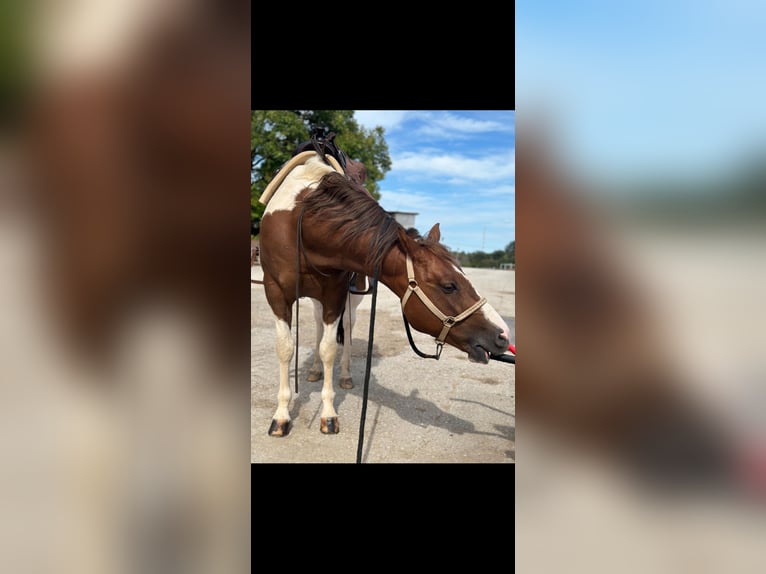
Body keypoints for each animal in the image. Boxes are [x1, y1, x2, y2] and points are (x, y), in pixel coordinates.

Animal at [258, 136, 511, 436]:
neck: (303, 222)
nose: (503, 334)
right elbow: (286, 348)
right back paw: (314, 371)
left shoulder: (334, 294)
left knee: (346, 331)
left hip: (347, 301)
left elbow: (329, 348)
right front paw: (281, 416)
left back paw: (344, 375)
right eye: (449, 286)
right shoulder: (276, 292)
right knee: (318, 326)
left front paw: (328, 414)